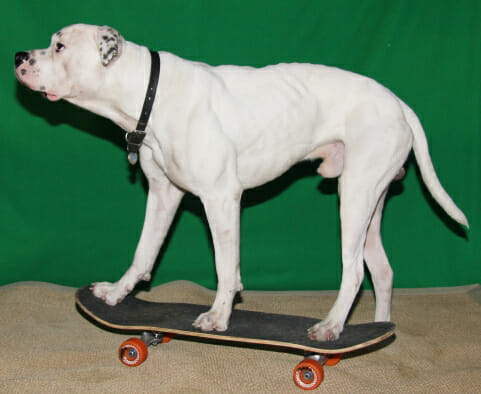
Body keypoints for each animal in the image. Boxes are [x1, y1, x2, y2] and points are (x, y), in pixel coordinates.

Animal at [15, 23, 464, 342]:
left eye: (59, 46)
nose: (19, 54)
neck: (150, 93)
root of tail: (397, 101)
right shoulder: (163, 194)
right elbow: (144, 252)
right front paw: (115, 294)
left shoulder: (220, 199)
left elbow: (225, 265)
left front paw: (218, 316)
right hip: (370, 199)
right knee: (382, 271)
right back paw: (378, 329)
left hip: (353, 198)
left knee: (354, 271)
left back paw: (331, 327)